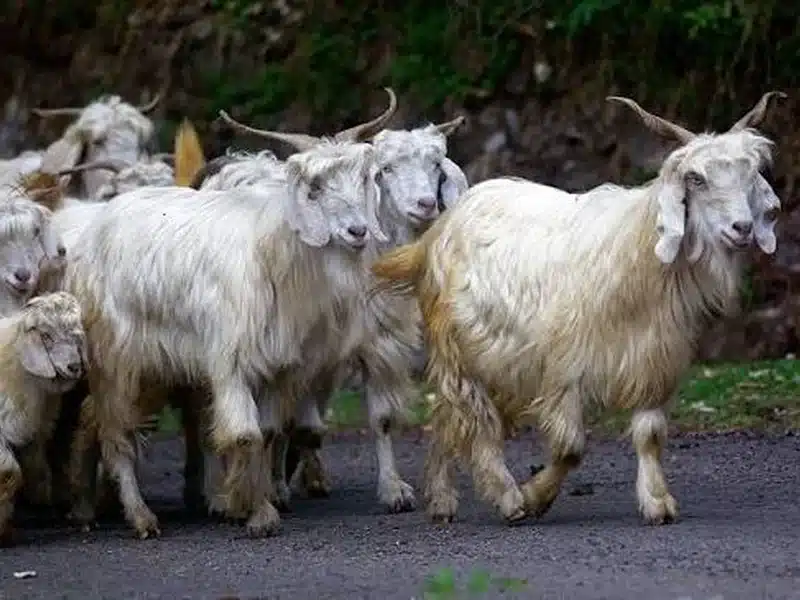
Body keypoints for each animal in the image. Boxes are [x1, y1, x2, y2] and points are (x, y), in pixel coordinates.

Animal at [370, 91, 784, 525]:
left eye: (751, 175)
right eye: (696, 179)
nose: (741, 228)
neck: (637, 251)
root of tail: (434, 235)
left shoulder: (653, 361)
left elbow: (650, 435)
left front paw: (657, 502)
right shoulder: (563, 367)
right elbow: (570, 447)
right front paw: (534, 496)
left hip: (500, 361)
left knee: (450, 417)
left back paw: (441, 498)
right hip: (457, 349)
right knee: (473, 418)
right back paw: (505, 496)